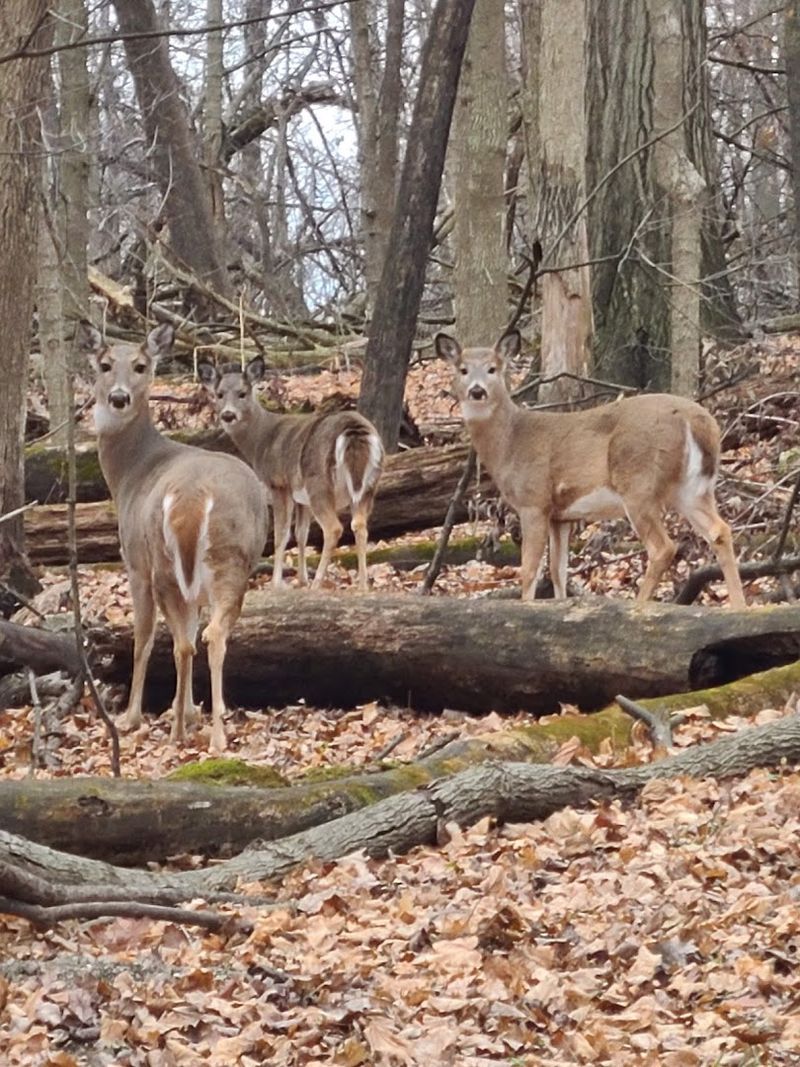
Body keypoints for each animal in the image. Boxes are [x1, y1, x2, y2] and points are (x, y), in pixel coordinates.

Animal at [79, 322, 270, 754]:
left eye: (140, 364)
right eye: (104, 364)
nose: (118, 397)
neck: (130, 473)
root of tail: (193, 498)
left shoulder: (133, 559)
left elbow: (143, 636)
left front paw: (132, 716)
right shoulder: (190, 586)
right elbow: (189, 631)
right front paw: (191, 710)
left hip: (169, 562)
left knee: (193, 638)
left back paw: (200, 734)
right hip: (224, 562)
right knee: (198, 637)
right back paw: (196, 726)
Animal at [198, 356, 384, 592]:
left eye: (243, 393)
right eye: (219, 394)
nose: (228, 415)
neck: (260, 440)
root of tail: (355, 431)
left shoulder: (278, 483)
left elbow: (281, 533)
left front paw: (277, 583)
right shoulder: (300, 494)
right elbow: (301, 533)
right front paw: (301, 579)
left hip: (319, 482)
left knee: (333, 528)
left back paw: (318, 583)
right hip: (369, 485)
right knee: (359, 525)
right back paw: (362, 585)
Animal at [436, 330, 746, 609]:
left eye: (492, 369)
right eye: (463, 369)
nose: (477, 391)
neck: (510, 442)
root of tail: (700, 422)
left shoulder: (534, 501)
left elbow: (529, 570)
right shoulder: (560, 515)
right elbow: (557, 571)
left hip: (639, 483)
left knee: (663, 547)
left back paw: (639, 606)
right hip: (692, 488)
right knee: (720, 530)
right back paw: (739, 606)